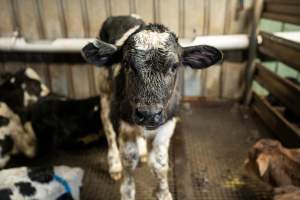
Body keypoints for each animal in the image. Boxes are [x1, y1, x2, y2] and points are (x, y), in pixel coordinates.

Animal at [82, 14, 223, 199]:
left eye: (174, 66)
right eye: (126, 64)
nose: (149, 114)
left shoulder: (167, 124)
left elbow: (159, 164)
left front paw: (164, 193)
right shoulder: (125, 125)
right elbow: (129, 161)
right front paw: (127, 191)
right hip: (104, 89)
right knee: (108, 127)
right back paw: (114, 165)